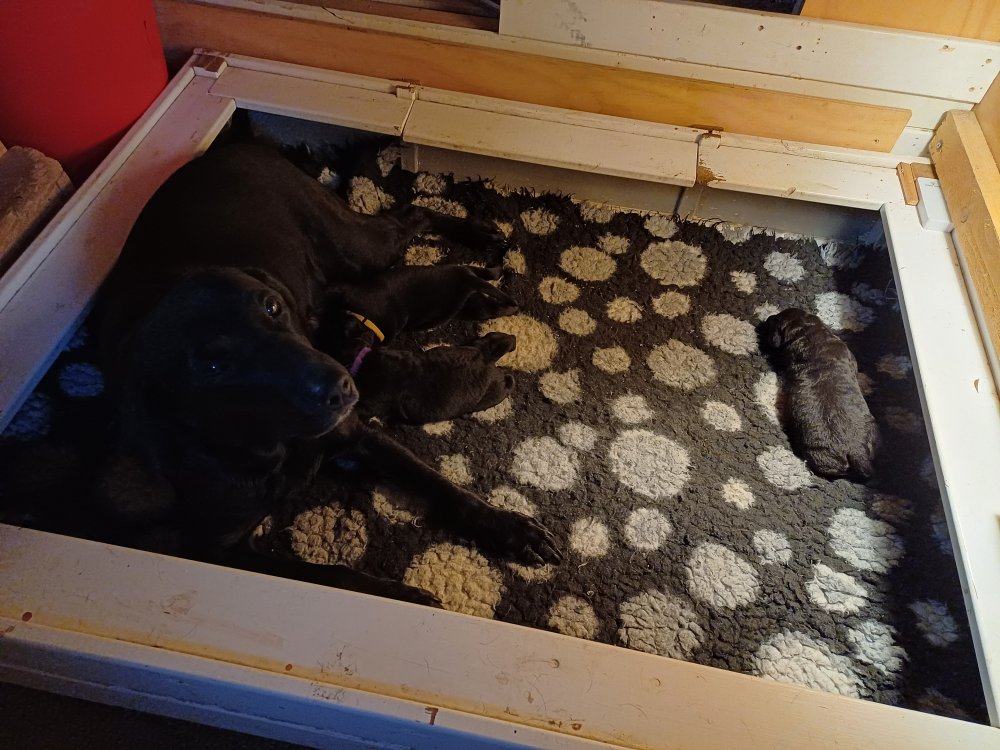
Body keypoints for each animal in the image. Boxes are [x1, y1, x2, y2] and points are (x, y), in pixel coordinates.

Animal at [97, 142, 561, 605]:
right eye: (212, 365)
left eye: (272, 306)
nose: (341, 386)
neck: (273, 446)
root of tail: (232, 147)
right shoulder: (226, 554)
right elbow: (336, 578)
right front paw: (402, 596)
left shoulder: (360, 435)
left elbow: (441, 486)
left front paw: (514, 531)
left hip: (361, 246)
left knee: (410, 213)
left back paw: (481, 234)